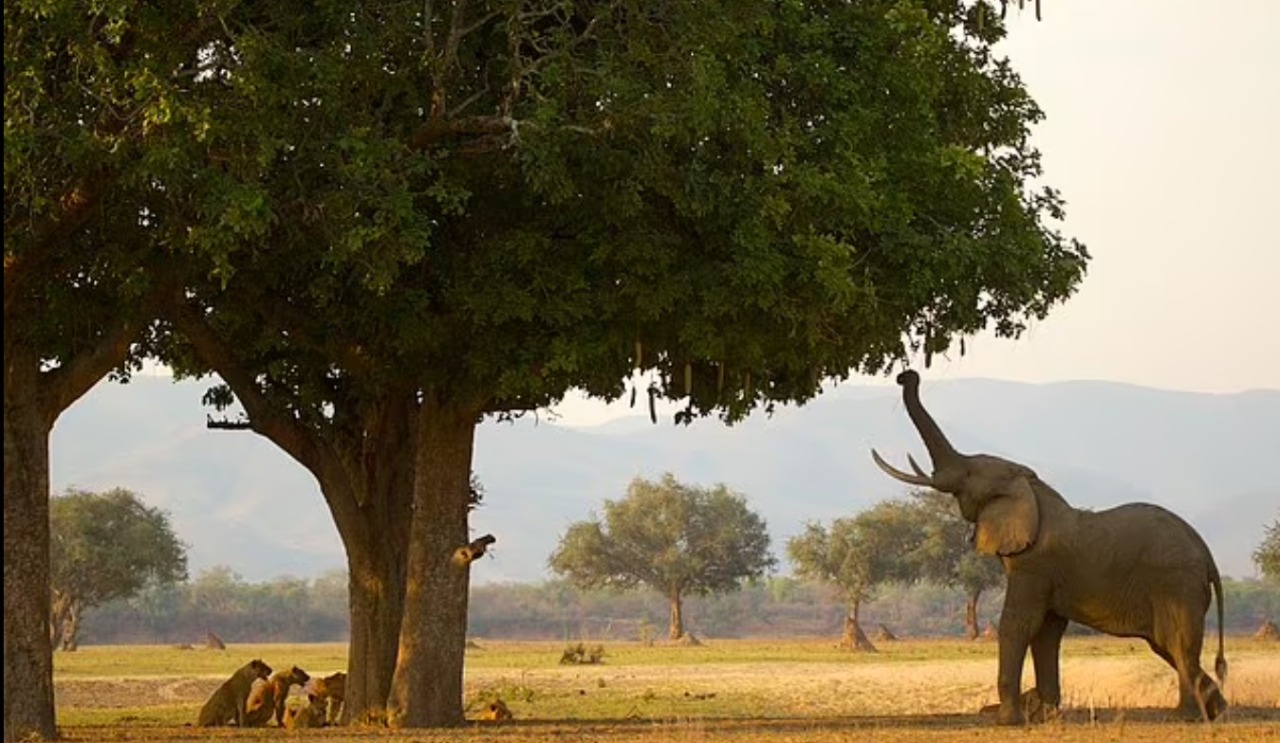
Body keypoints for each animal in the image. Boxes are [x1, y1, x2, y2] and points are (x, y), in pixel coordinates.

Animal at [875, 371, 1223, 727]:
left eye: (970, 471)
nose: (906, 375)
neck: (1031, 488)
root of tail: (1206, 554)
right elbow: (1046, 632)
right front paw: (1044, 714)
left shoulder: (1035, 564)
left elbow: (1018, 624)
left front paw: (1008, 720)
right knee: (1167, 647)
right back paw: (1215, 709)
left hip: (1175, 584)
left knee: (1176, 643)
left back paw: (1186, 716)